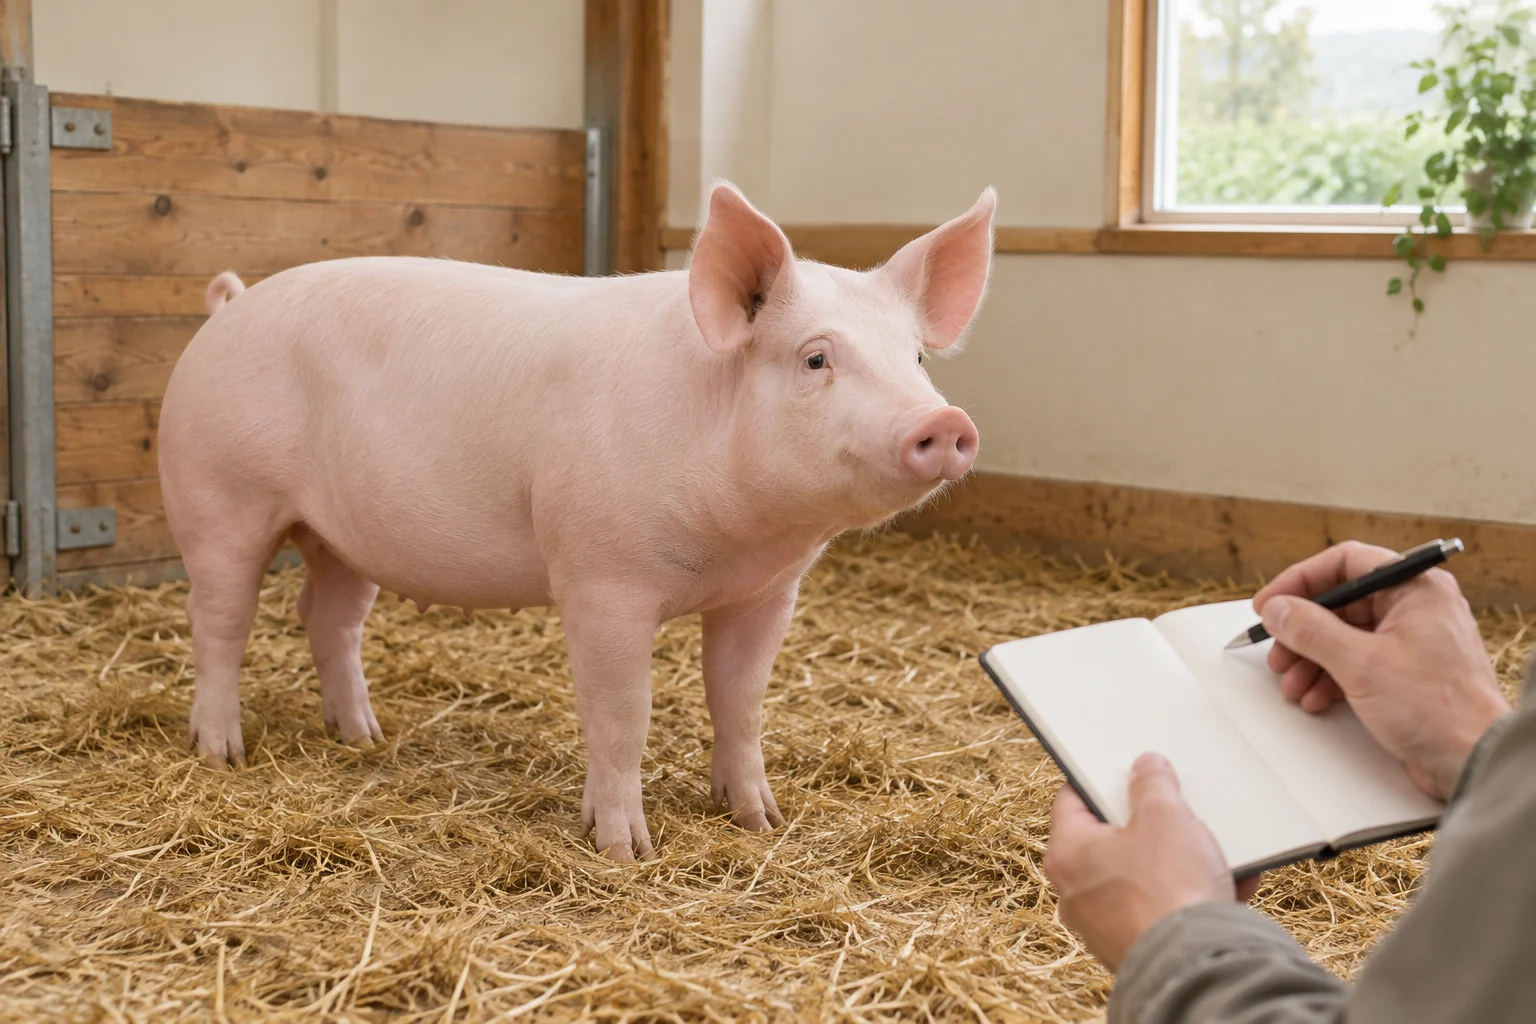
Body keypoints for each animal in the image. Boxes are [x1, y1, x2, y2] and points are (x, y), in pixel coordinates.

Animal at [158, 182, 994, 860]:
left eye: (917, 357)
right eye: (816, 358)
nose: (946, 422)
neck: (735, 545)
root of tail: (229, 307)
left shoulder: (766, 594)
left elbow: (741, 702)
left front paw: (761, 821)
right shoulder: (601, 578)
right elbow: (623, 713)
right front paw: (626, 851)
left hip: (344, 535)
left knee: (326, 614)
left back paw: (365, 735)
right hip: (218, 494)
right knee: (218, 618)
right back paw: (222, 752)